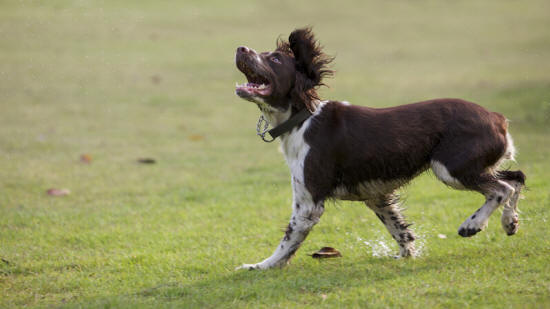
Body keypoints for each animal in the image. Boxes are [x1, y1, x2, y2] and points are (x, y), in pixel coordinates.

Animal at [233, 27, 528, 268]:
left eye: (274, 59)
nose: (240, 48)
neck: (303, 119)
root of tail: (496, 118)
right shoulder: (376, 197)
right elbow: (400, 230)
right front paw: (404, 256)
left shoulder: (308, 202)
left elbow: (287, 241)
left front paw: (260, 266)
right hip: (473, 164)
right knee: (517, 178)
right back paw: (510, 223)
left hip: (450, 167)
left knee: (502, 188)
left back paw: (473, 224)